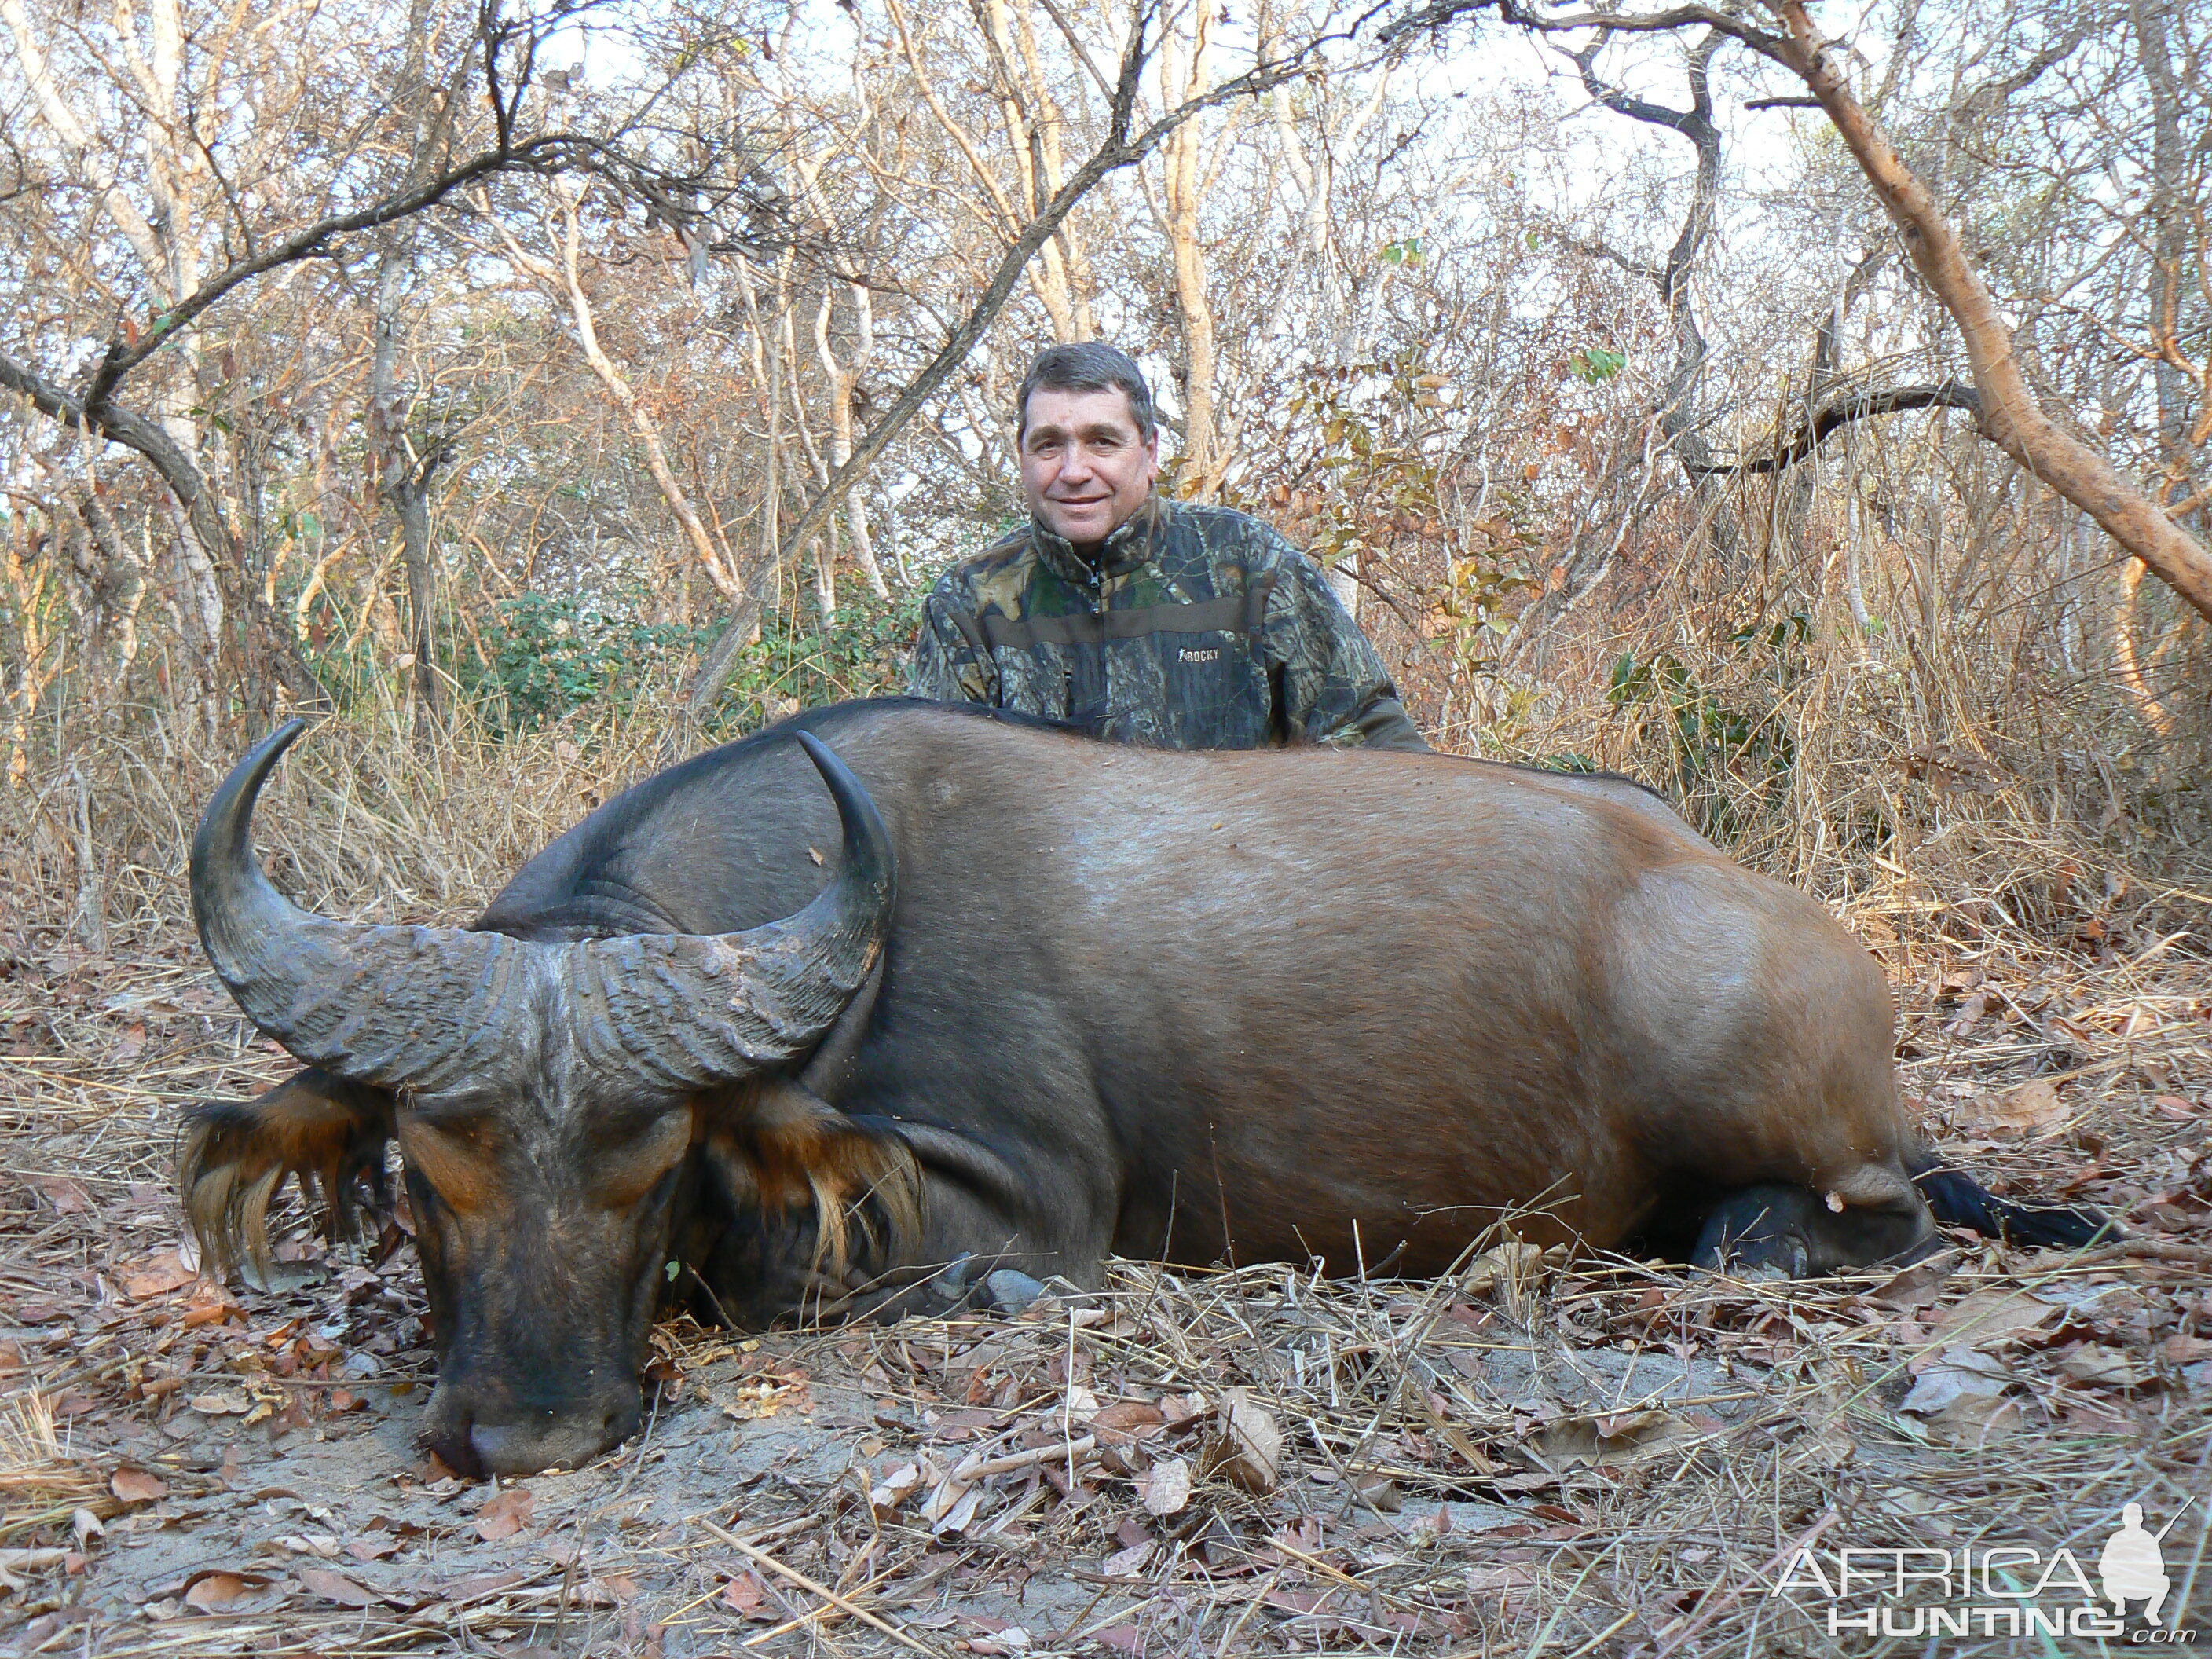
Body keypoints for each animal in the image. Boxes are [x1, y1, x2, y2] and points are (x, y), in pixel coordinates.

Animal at [181, 703, 2097, 1478]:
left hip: (1799, 1127)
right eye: (421, 1175)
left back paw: (1760, 1241)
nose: (530, 1435)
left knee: (1880, 1219)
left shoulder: (1028, 1203)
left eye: (653, 1170)